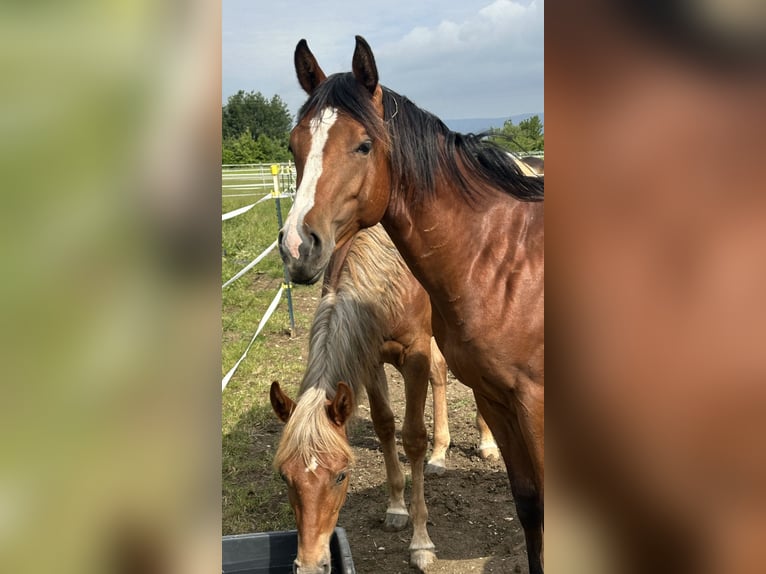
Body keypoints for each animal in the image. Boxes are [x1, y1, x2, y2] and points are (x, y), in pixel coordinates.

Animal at [270, 224, 497, 573]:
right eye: (285, 475)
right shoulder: (370, 356)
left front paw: (420, 543)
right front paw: (396, 508)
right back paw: (439, 455)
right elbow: (385, 424)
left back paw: (487, 443)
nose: (309, 565)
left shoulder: (414, 354)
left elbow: (413, 437)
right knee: (440, 373)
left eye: (341, 475)